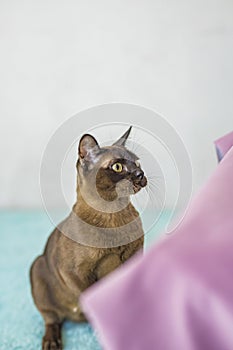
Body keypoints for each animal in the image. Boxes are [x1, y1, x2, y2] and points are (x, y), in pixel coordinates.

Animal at [30, 126, 147, 350]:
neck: (113, 216)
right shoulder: (73, 273)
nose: (140, 174)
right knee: (52, 318)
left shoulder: (135, 257)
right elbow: (92, 296)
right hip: (37, 268)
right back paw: (52, 341)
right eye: (118, 166)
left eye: (137, 163)